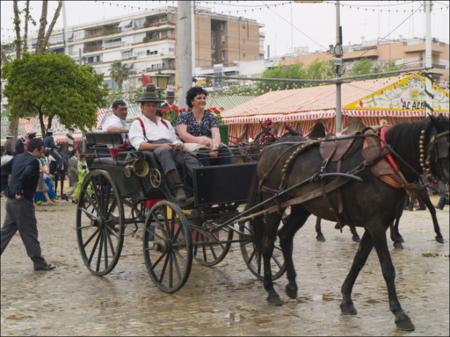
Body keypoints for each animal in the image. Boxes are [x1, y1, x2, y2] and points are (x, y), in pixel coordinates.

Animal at [248, 114, 448, 330]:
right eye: (445, 150)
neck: (385, 163)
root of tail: (268, 150)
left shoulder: (376, 224)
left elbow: (358, 260)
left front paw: (346, 299)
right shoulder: (376, 225)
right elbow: (387, 268)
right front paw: (399, 313)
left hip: (302, 207)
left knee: (285, 237)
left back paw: (292, 285)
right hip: (274, 206)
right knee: (267, 245)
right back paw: (270, 290)